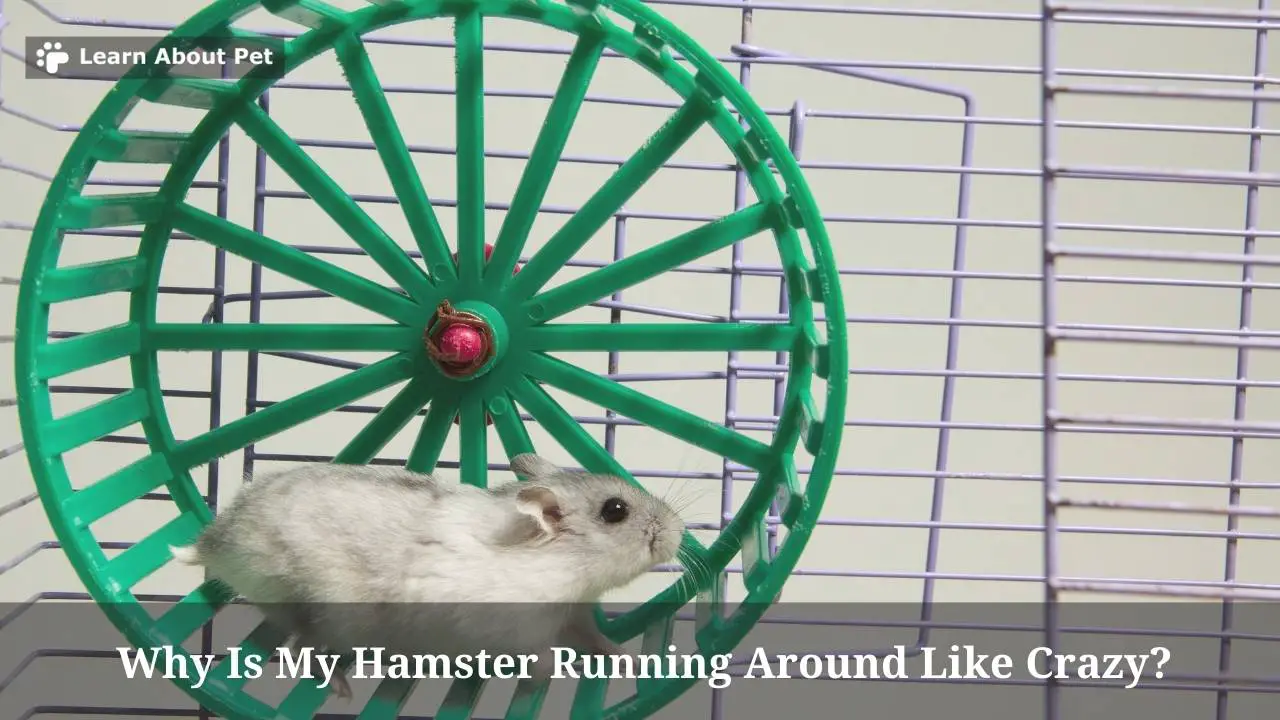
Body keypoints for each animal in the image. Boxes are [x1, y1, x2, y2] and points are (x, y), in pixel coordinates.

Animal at [169, 454, 686, 698]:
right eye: (615, 511)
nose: (680, 531)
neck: (563, 568)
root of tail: (216, 540)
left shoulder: (573, 614)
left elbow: (597, 640)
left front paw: (631, 660)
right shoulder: (512, 632)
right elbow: (538, 659)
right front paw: (544, 680)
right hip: (334, 614)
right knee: (303, 650)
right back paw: (342, 692)